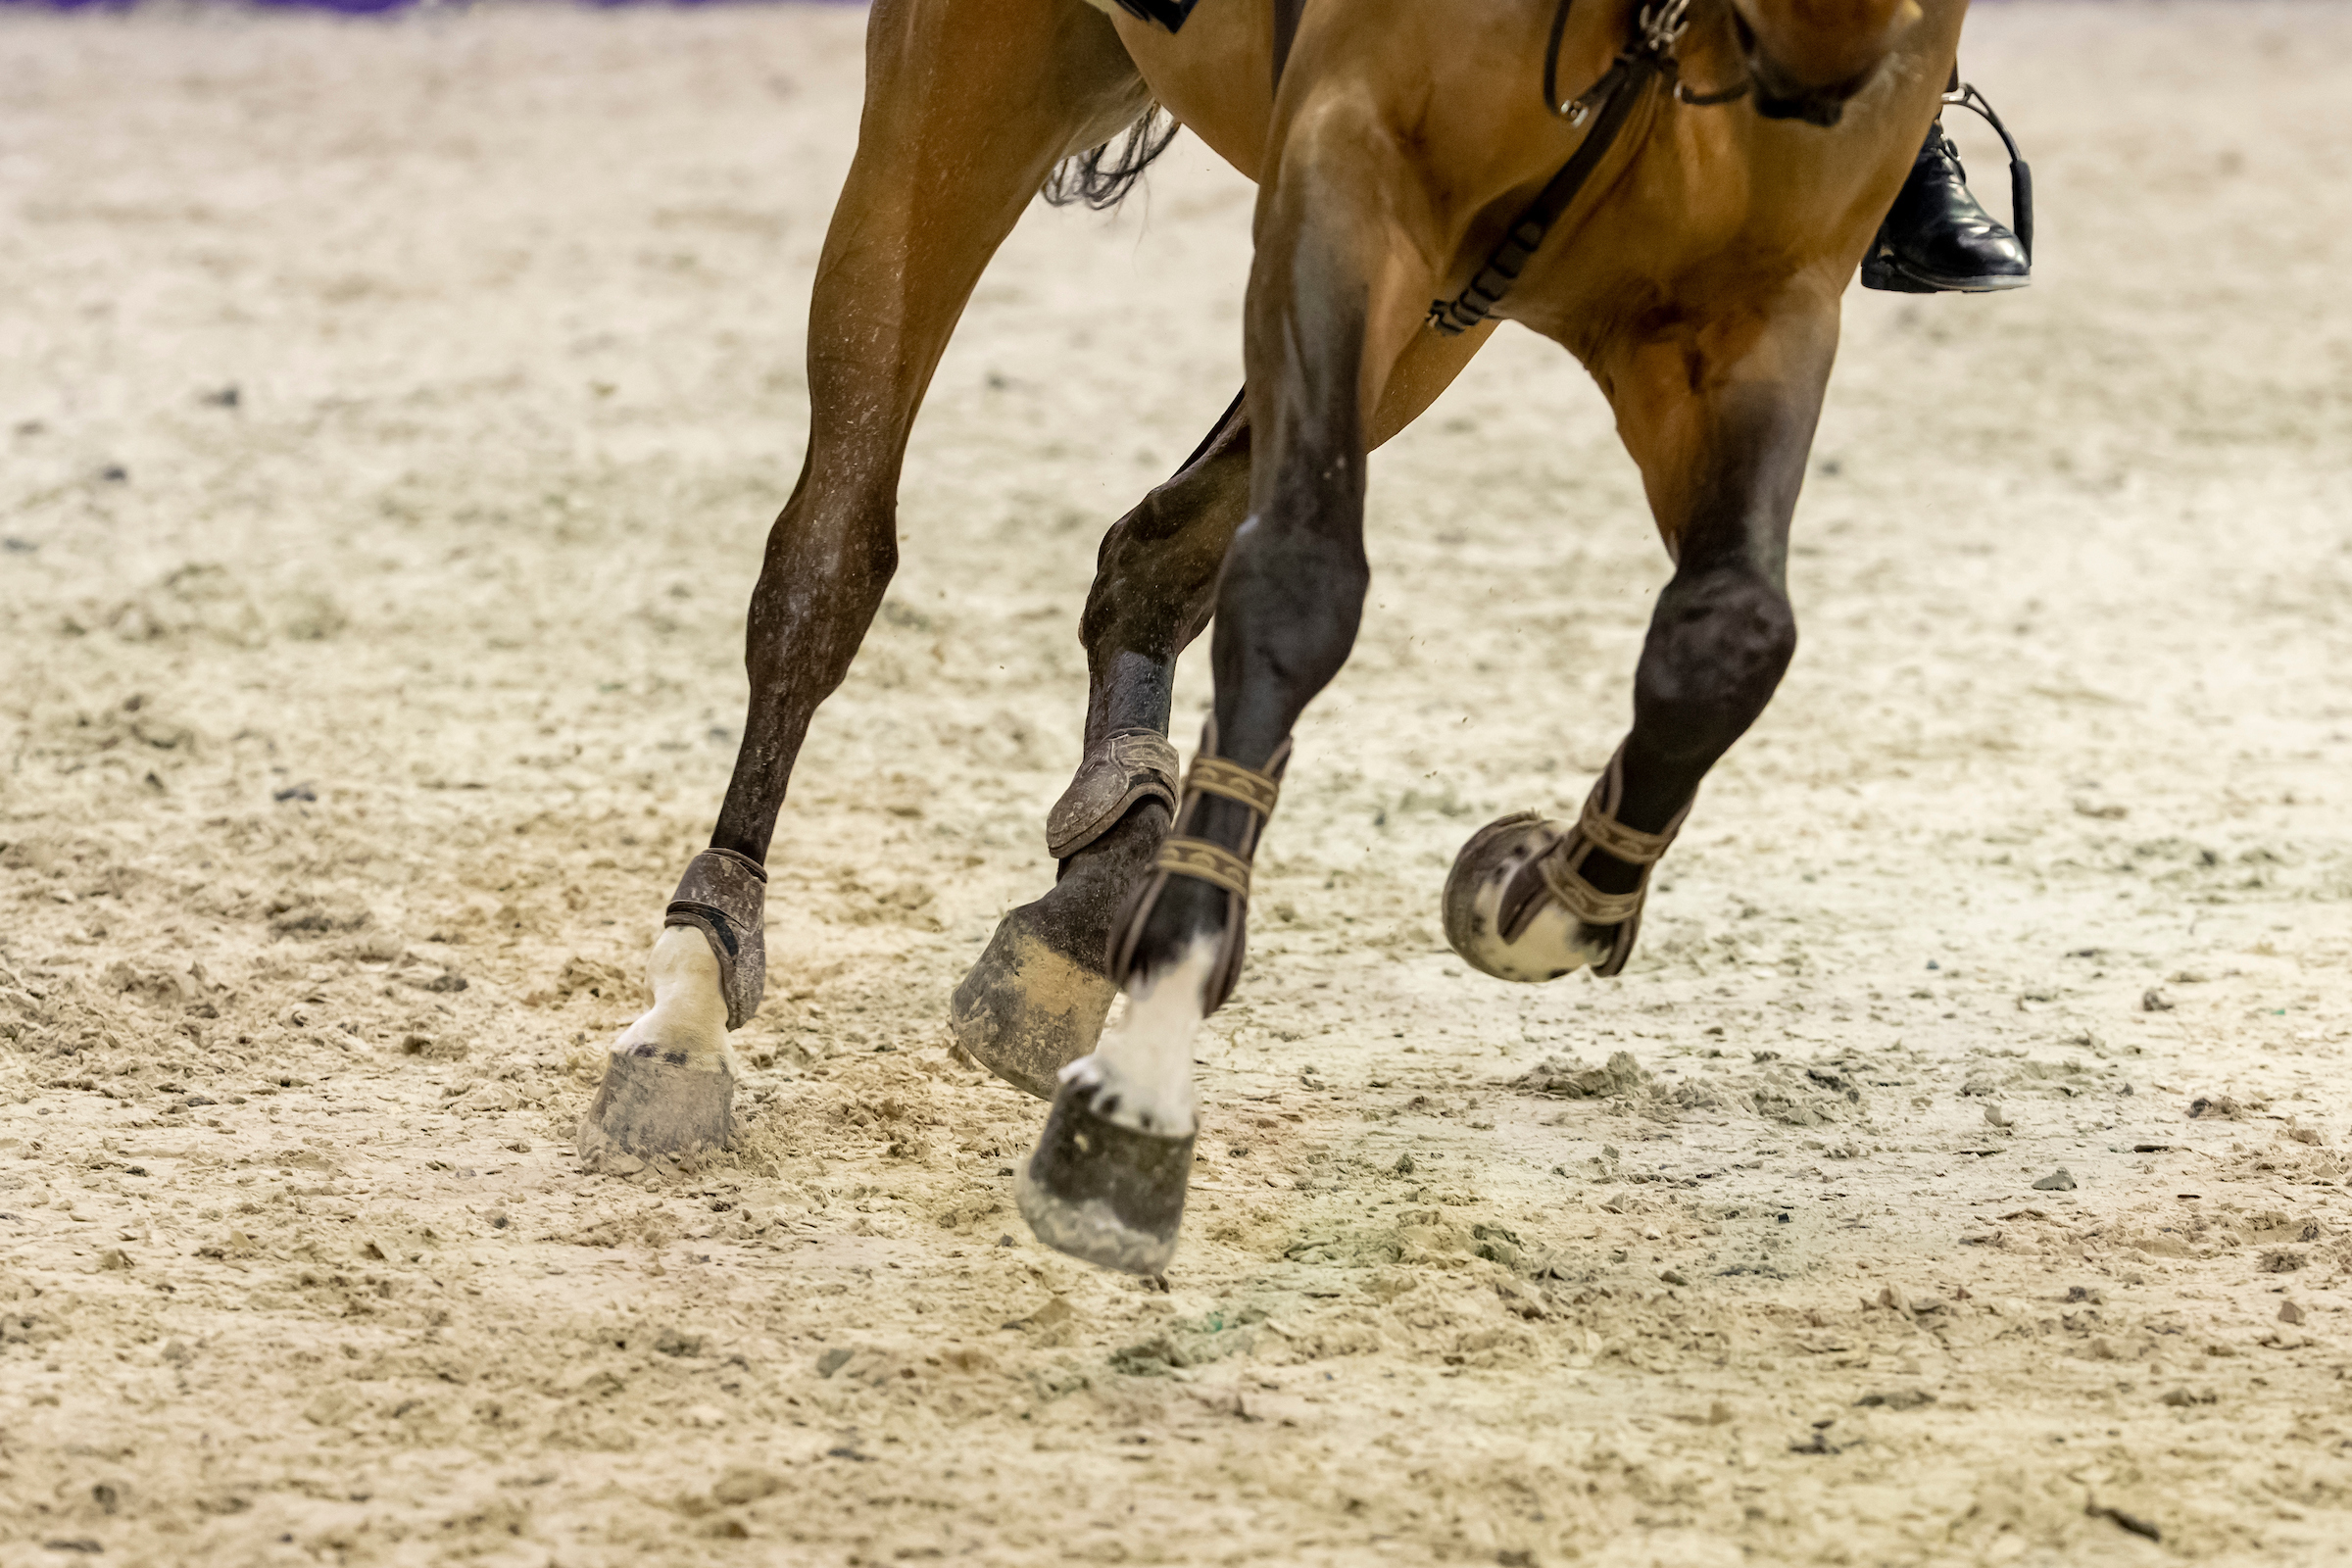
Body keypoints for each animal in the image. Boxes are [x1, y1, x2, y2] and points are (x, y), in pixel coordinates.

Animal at [573, 0, 1966, 1269]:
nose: (1812, 80)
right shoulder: (1351, 174)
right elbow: (1298, 585)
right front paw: (1140, 1094)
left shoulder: (1752, 308)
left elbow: (1729, 639)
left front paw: (1527, 886)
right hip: (985, 94)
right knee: (831, 556)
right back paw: (693, 992)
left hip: (1442, 316)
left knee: (1149, 555)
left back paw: (1095, 891)